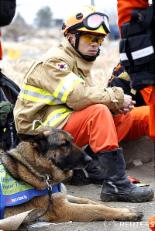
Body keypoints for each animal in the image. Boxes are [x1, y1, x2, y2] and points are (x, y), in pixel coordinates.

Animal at [0, 128, 143, 224]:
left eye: (72, 141)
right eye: (64, 144)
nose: (90, 159)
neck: (36, 169)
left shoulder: (63, 196)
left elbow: (90, 202)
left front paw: (121, 208)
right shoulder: (63, 208)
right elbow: (97, 209)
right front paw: (126, 213)